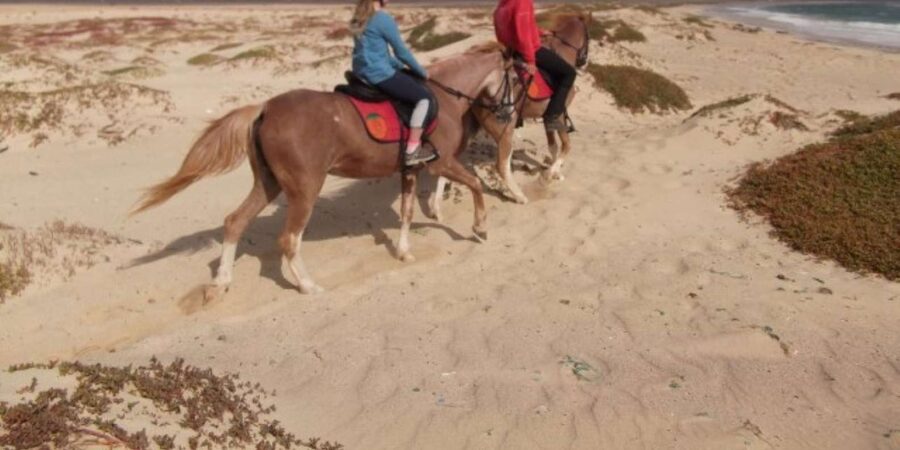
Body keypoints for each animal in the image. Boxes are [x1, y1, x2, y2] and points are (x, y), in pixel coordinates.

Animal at [132, 44, 514, 295]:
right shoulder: (443, 163)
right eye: (515, 80)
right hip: (305, 188)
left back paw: (222, 280)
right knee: (289, 238)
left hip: (269, 184)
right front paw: (480, 227)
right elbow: (476, 184)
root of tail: (265, 109)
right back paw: (307, 284)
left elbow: (406, 212)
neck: (443, 96)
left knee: (235, 222)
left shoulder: (412, 170)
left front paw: (404, 252)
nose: (508, 113)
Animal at [428, 13, 591, 221]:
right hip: (505, 130)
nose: (584, 62)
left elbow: (553, 146)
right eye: (589, 37)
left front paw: (555, 172)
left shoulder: (548, 117)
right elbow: (566, 146)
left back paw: (436, 208)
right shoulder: (559, 114)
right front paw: (550, 174)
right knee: (501, 165)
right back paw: (519, 196)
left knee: (447, 164)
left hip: (467, 132)